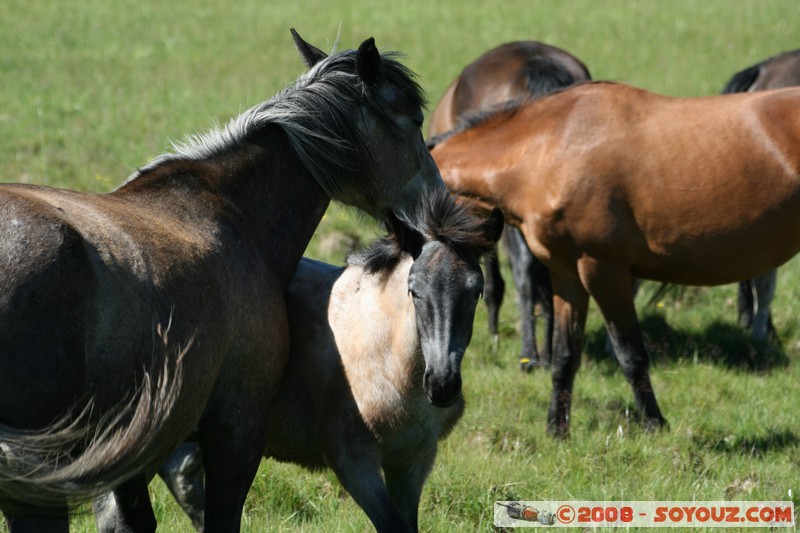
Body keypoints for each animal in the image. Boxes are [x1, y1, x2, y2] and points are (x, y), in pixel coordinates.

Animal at [94, 191, 504, 532]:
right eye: (414, 290)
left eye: (476, 291)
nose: (443, 385)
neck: (385, 359)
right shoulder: (353, 462)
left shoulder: (412, 464)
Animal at [432, 80, 800, 436]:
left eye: (474, 292)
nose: (441, 387)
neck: (548, 149)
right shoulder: (566, 274)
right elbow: (565, 354)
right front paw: (557, 430)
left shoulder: (603, 271)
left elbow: (630, 354)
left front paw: (655, 425)